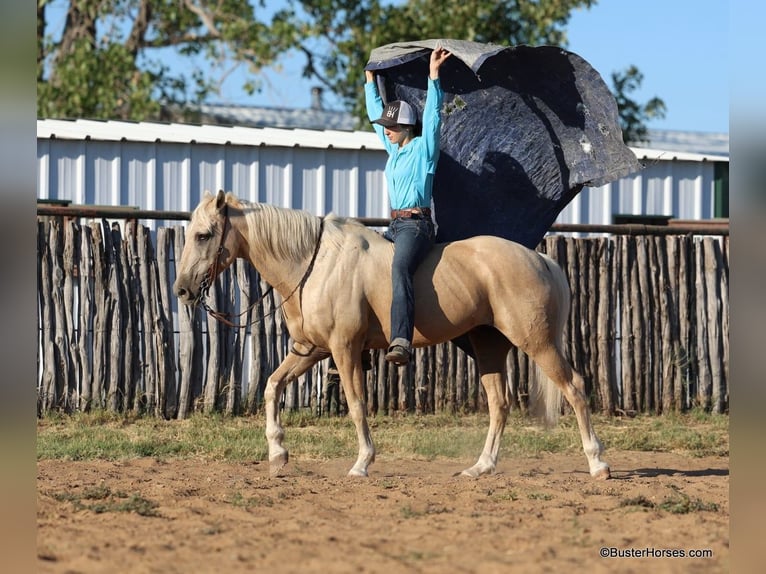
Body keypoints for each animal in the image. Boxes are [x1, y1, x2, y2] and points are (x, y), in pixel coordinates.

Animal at [173, 190, 611, 480]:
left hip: (537, 342)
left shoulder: (344, 350)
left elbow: (356, 404)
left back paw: (597, 463)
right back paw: (481, 467)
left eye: (203, 235)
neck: (315, 263)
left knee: (574, 387)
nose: (181, 290)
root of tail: (538, 258)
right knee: (499, 404)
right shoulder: (310, 349)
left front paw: (362, 463)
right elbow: (271, 386)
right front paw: (278, 453)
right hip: (488, 346)